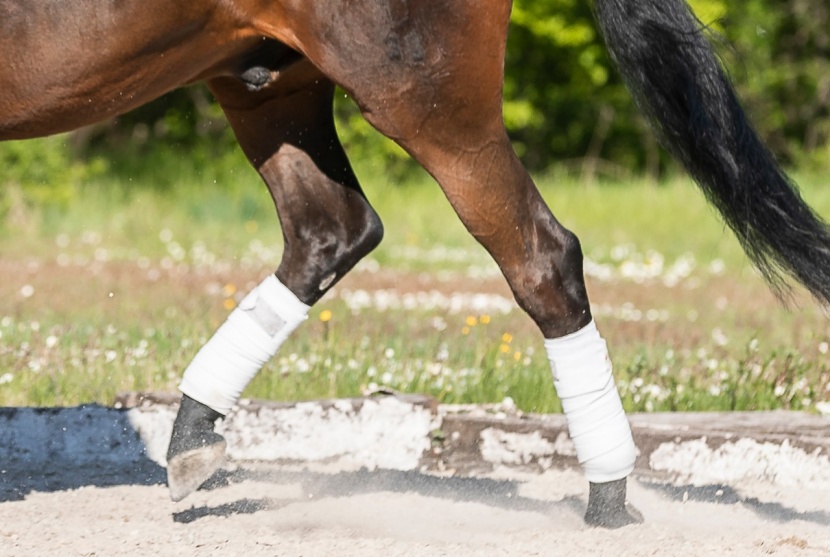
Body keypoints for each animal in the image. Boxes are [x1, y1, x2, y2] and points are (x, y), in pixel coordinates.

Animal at [3, 0, 830, 529]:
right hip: (267, 82)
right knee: (331, 232)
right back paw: (193, 438)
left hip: (426, 101)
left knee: (542, 257)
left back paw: (608, 502)